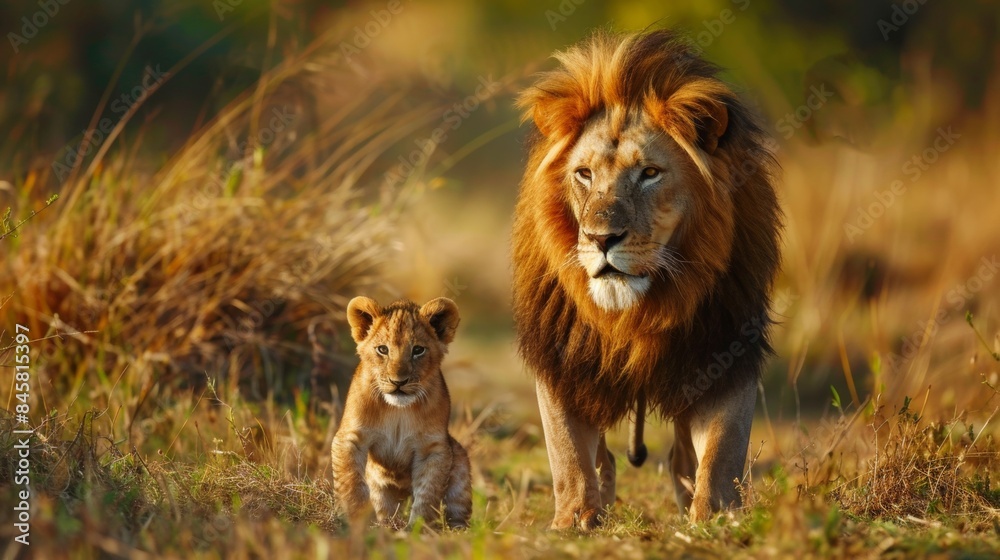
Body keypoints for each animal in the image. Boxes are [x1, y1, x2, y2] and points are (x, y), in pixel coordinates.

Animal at [331, 296, 472, 529]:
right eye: (382, 349)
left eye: (418, 350)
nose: (399, 382)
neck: (397, 409)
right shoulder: (351, 437)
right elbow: (350, 481)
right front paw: (358, 522)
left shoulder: (433, 448)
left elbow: (428, 493)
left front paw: (418, 529)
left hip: (459, 461)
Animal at [512, 29, 782, 528]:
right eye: (584, 173)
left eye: (650, 173)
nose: (601, 238)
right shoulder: (561, 352)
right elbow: (567, 450)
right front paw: (575, 518)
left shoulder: (724, 347)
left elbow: (722, 448)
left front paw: (713, 514)